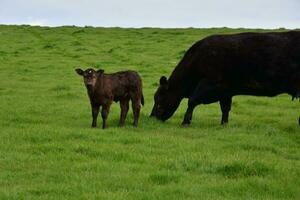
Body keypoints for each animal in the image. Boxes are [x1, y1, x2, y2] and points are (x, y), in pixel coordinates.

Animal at [151, 30, 300, 125]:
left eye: (160, 99)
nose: (152, 117)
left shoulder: (210, 83)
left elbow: (192, 100)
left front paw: (185, 121)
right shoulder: (225, 91)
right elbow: (225, 108)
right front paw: (224, 124)